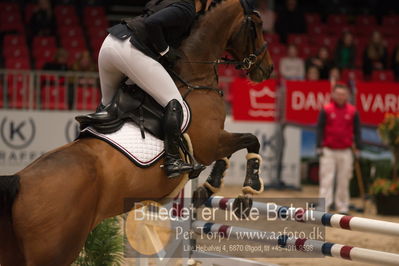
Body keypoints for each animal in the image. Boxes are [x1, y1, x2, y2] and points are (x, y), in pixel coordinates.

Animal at [0, 1, 274, 264]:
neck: (195, 77)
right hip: (57, 250)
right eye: (258, 25)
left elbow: (233, 152)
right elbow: (251, 141)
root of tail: (20, 181)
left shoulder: (215, 140)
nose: (268, 69)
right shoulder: (210, 143)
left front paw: (206, 190)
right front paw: (246, 194)